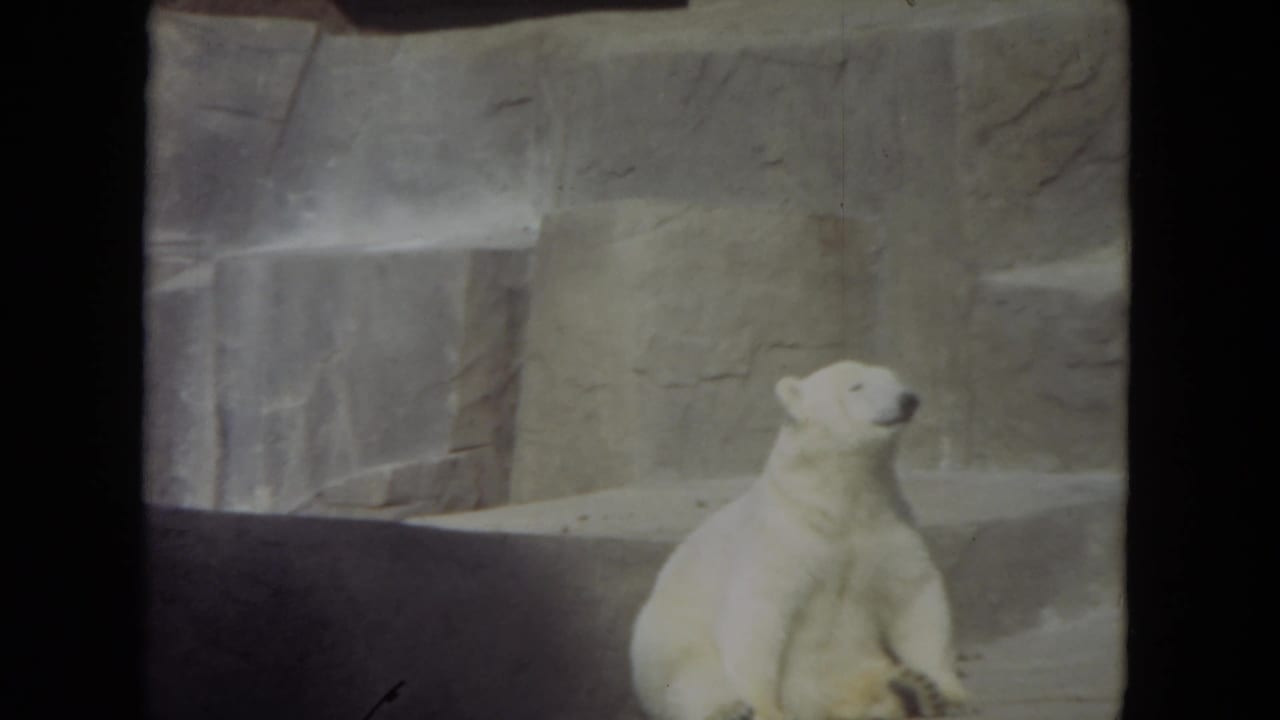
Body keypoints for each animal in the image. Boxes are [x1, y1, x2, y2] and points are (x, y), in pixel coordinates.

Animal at [629, 359, 971, 720]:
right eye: (856, 386)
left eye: (895, 380)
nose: (908, 399)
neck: (837, 501)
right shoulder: (784, 532)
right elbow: (758, 611)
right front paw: (764, 709)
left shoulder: (885, 522)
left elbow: (914, 592)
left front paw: (948, 690)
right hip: (670, 642)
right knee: (694, 679)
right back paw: (731, 708)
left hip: (853, 662)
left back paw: (909, 690)